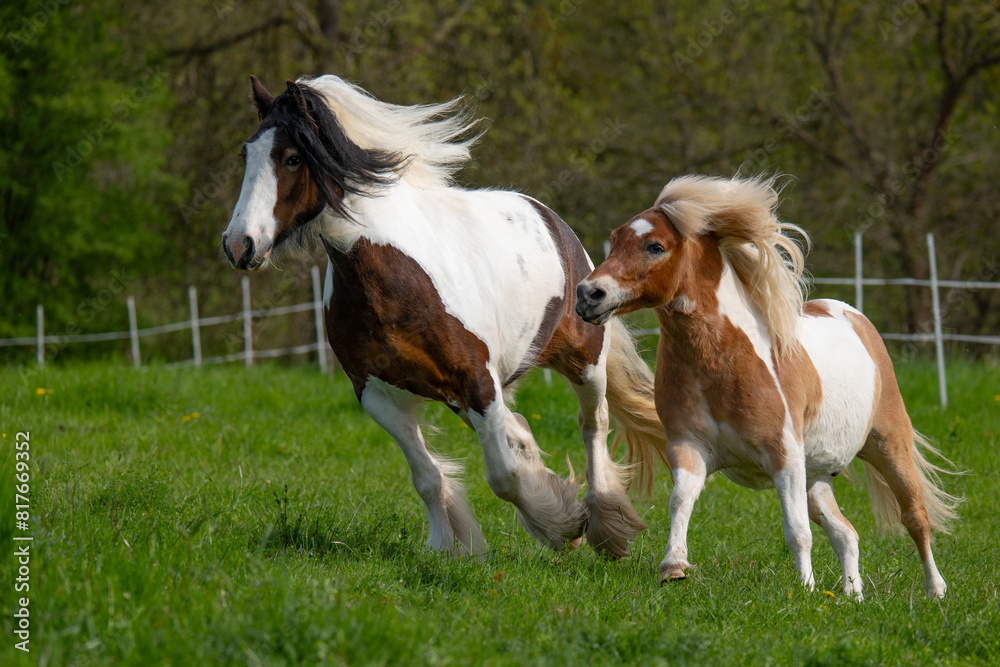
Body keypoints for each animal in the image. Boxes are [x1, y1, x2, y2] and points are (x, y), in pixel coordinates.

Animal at [221, 74, 667, 559]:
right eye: (245, 154)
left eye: (292, 157)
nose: (239, 244)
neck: (390, 278)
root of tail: (551, 220)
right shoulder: (377, 395)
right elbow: (429, 479)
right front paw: (448, 549)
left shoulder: (478, 383)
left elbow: (504, 477)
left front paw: (562, 525)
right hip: (461, 395)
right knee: (521, 430)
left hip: (583, 361)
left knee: (592, 425)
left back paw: (604, 525)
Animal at [576, 174, 961, 598]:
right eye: (615, 238)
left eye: (655, 246)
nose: (588, 294)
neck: (722, 365)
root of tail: (854, 316)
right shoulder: (689, 448)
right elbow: (680, 502)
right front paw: (673, 568)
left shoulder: (784, 457)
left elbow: (797, 532)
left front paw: (806, 591)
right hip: (817, 478)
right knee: (846, 533)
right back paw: (852, 595)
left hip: (888, 445)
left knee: (915, 517)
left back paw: (935, 591)